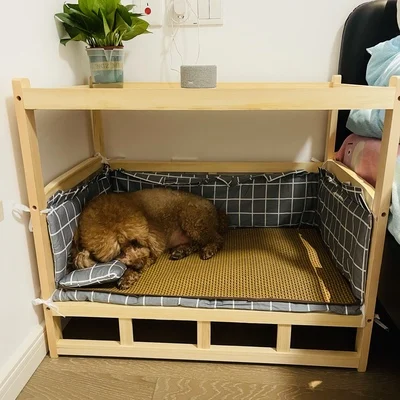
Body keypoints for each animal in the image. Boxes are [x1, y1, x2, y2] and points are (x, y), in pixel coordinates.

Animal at [71, 188, 229, 289]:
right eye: (119, 253)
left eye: (135, 242)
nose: (140, 264)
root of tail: (216, 210)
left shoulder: (151, 247)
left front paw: (127, 277)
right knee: (196, 243)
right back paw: (180, 251)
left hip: (192, 218)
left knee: (217, 239)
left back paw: (208, 249)